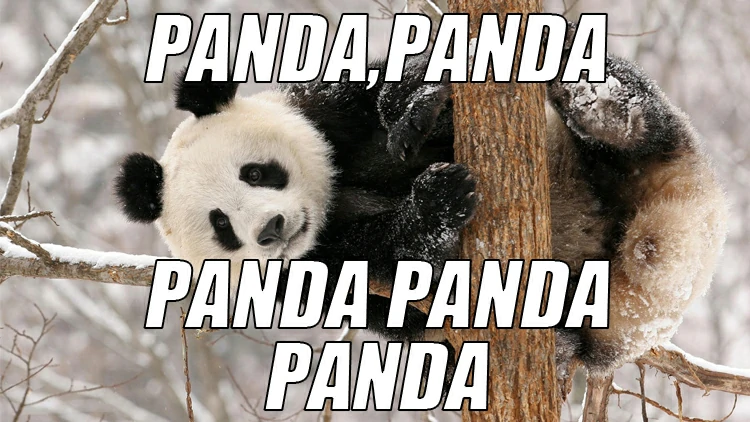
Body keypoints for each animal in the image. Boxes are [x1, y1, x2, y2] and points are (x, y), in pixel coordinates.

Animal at [114, 45, 727, 377]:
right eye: (221, 225)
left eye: (258, 173)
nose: (271, 229)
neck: (333, 198)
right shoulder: (306, 275)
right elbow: (389, 274)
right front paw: (436, 202)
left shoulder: (329, 109)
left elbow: (393, 91)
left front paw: (420, 110)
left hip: (642, 159)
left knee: (635, 117)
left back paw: (598, 105)